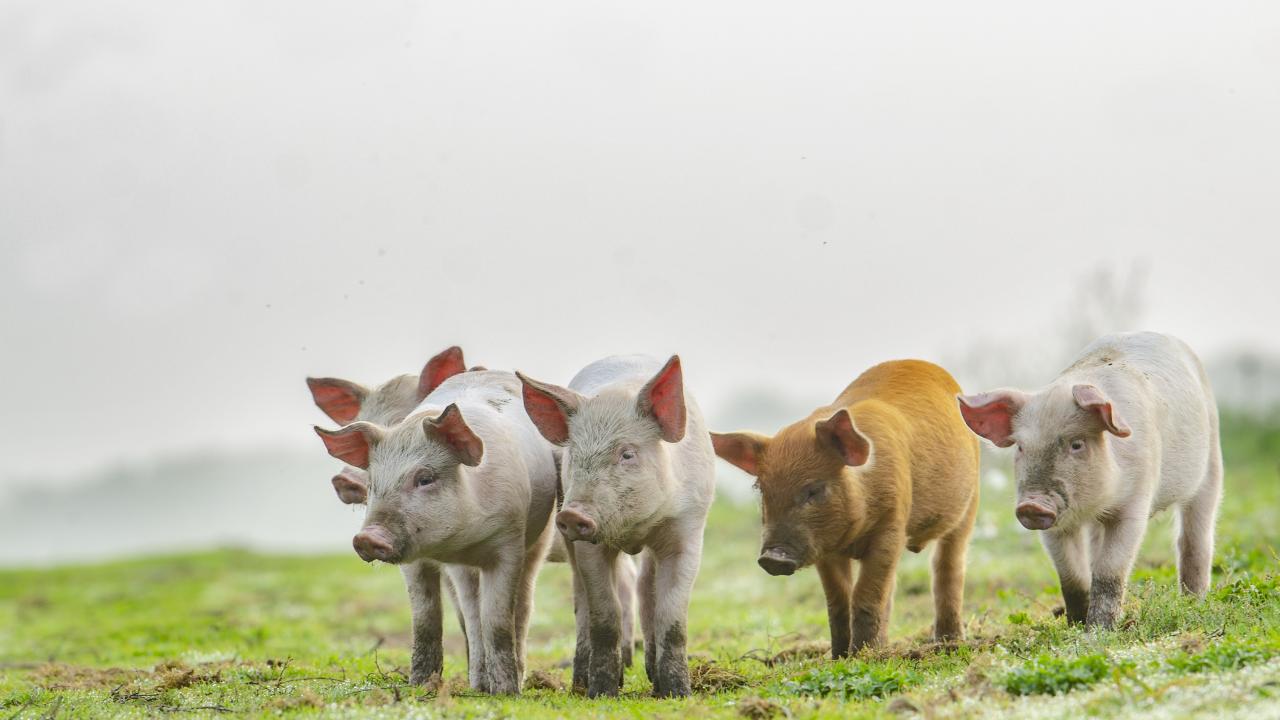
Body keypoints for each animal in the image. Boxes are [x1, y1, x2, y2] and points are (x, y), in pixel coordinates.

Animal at [314, 368, 555, 691]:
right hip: (463, 572)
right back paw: (478, 685)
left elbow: (498, 621)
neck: (463, 540)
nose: (367, 537)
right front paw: (419, 685)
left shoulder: (510, 542)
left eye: (425, 478)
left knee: (521, 608)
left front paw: (507, 693)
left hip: (539, 541)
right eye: (373, 484)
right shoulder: (420, 563)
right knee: (471, 615)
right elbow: (426, 620)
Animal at [519, 353, 721, 696]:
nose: (572, 515)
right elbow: (604, 616)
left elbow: (672, 618)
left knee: (645, 589)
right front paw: (602, 693)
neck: (633, 530)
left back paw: (654, 681)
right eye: (575, 455)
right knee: (582, 600)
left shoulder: (688, 529)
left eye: (627, 454)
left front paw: (677, 693)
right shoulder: (588, 545)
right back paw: (581, 684)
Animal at [711, 361, 977, 653]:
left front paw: (862, 655)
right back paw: (884, 647)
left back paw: (948, 642)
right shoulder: (824, 547)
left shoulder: (892, 525)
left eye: (813, 490)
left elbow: (865, 595)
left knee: (948, 566)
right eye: (761, 489)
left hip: (970, 503)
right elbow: (838, 600)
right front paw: (839, 656)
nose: (772, 557)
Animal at [962, 327, 1218, 625]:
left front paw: (1099, 629)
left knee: (1195, 537)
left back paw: (1194, 601)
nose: (1031, 505)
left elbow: (1110, 570)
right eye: (1021, 447)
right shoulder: (1056, 527)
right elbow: (1071, 576)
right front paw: (1075, 623)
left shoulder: (1135, 501)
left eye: (1077, 444)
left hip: (1212, 460)